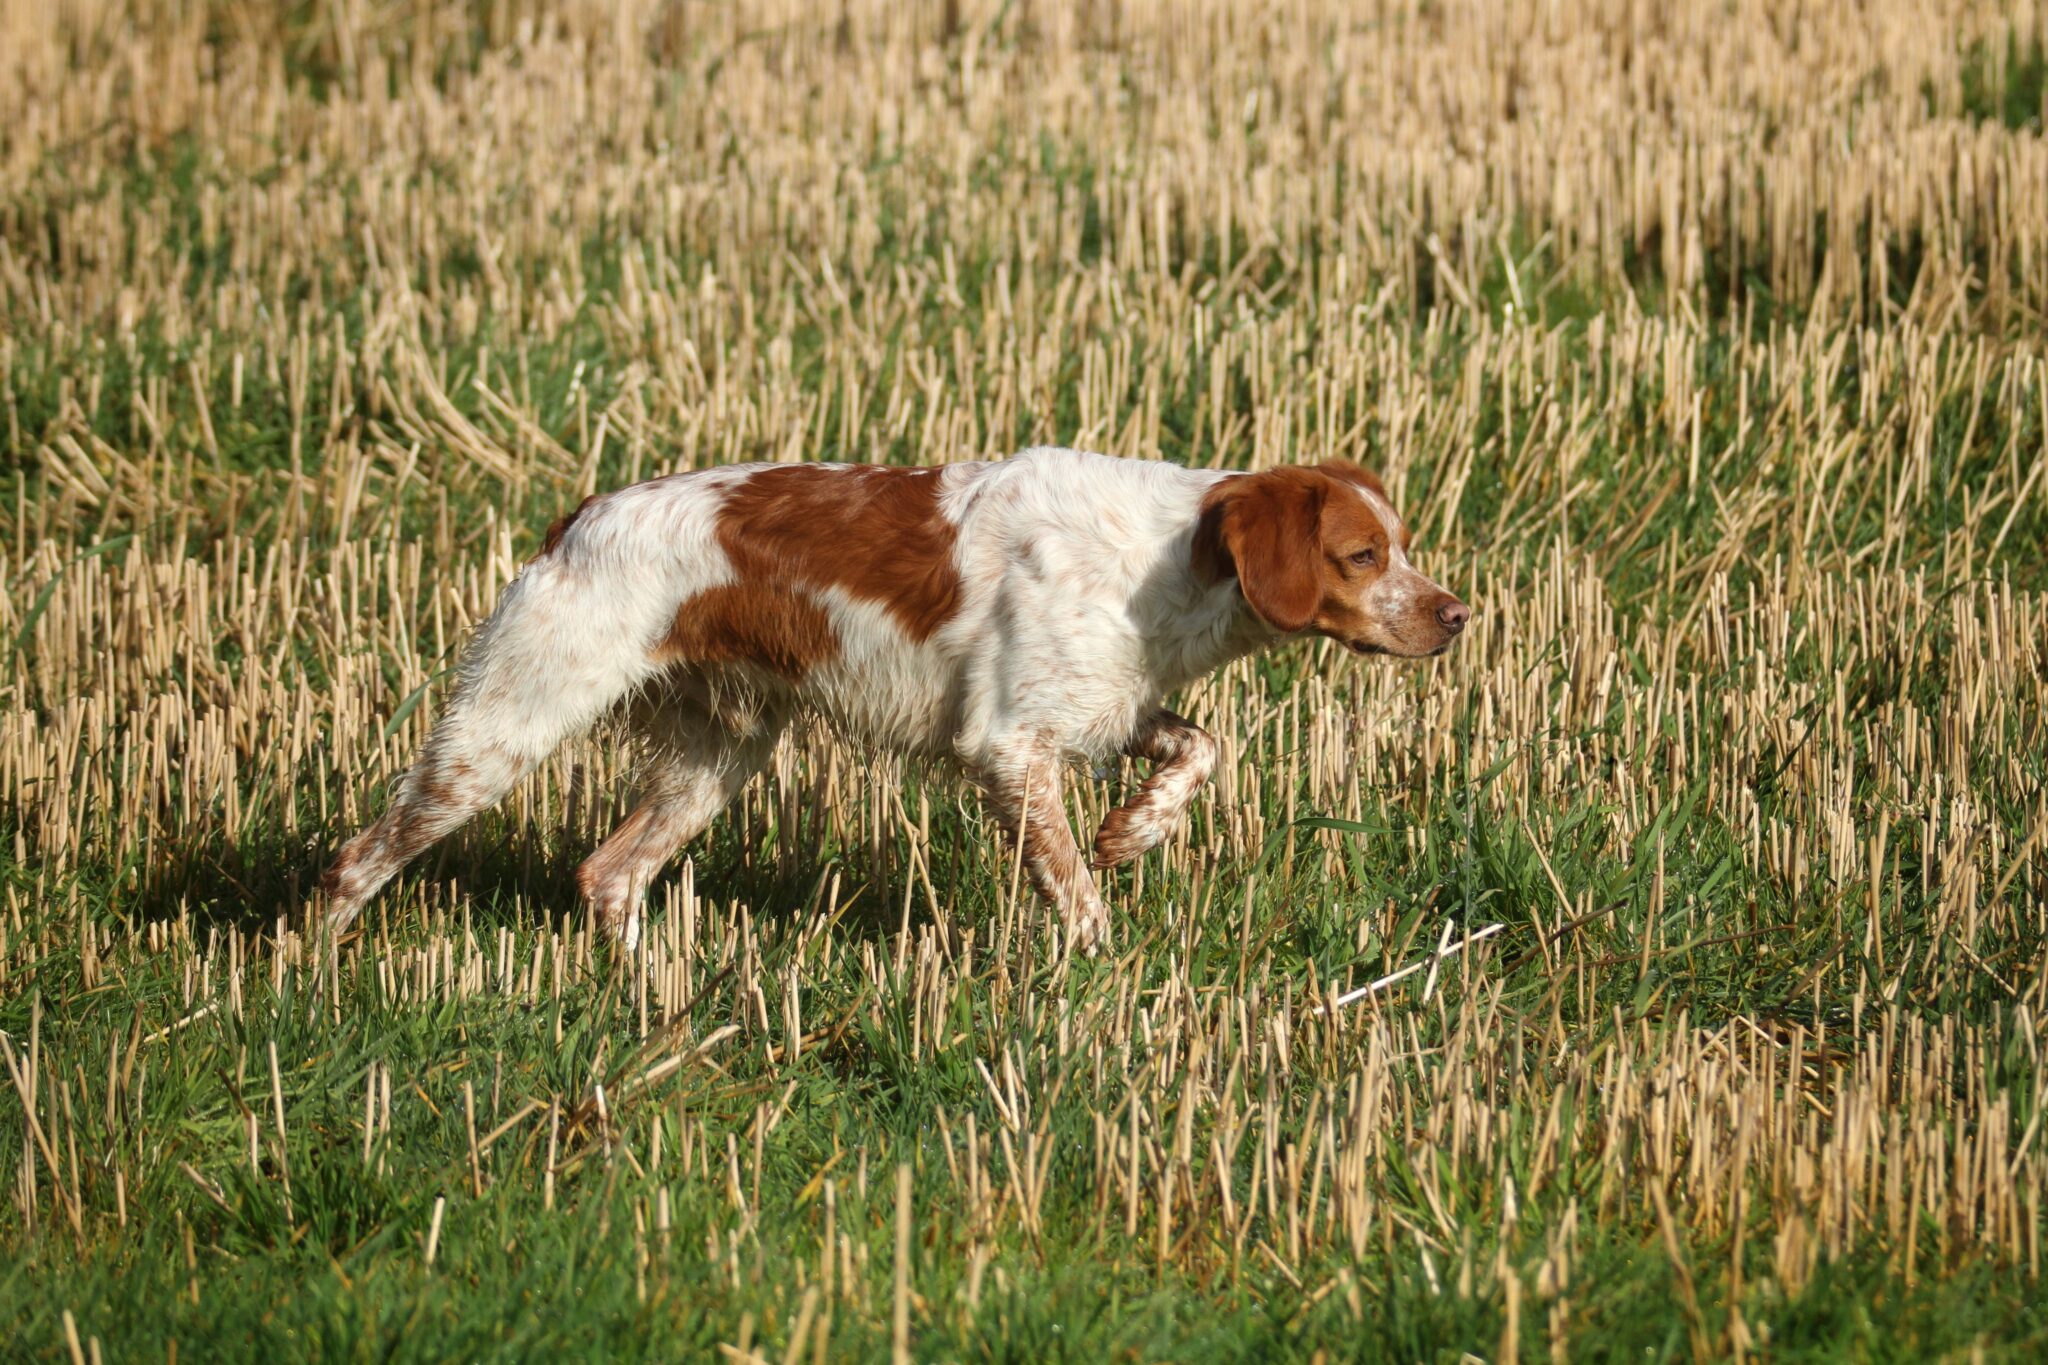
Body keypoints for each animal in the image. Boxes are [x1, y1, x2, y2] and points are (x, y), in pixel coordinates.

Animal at [319, 448, 1466, 949]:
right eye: (1362, 556)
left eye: (1400, 547)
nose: (1457, 615)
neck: (1166, 559)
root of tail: (576, 518)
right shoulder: (1006, 745)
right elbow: (1074, 893)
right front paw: (1099, 976)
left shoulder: (1099, 704)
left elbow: (1201, 748)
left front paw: (1135, 830)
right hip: (504, 726)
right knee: (356, 859)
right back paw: (314, 975)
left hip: (717, 754)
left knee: (608, 872)